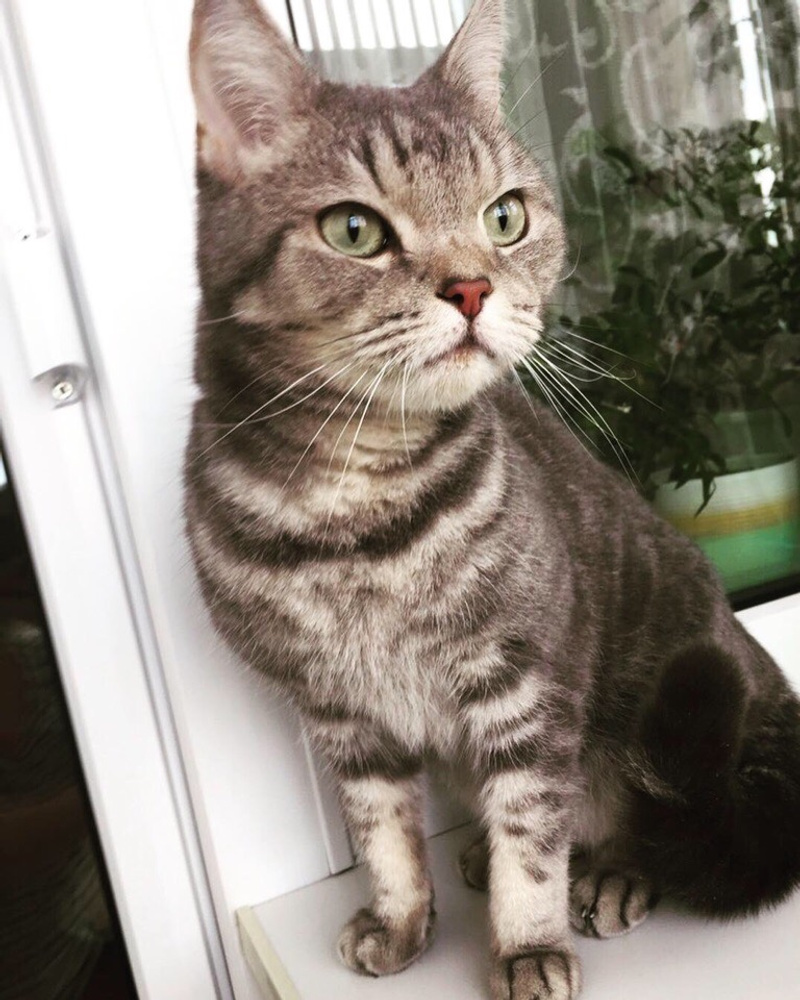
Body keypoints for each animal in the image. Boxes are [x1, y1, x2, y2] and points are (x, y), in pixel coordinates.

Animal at [183, 1, 800, 997]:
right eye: (354, 230)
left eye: (503, 217)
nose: (472, 286)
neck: (357, 515)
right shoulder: (341, 715)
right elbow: (384, 833)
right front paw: (402, 923)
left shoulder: (526, 686)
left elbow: (531, 834)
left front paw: (526, 947)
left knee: (650, 817)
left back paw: (614, 873)